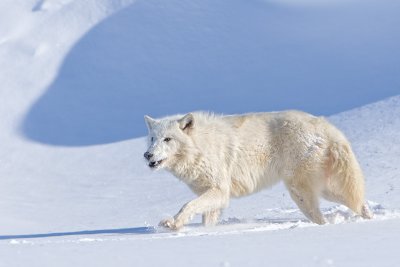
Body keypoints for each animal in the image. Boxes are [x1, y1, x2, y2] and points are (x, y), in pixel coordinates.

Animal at [144, 111, 372, 230]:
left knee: (321, 218)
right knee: (359, 203)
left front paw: (173, 224)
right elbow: (206, 220)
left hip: (300, 193)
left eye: (167, 139)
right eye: (153, 139)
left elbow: (187, 206)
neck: (201, 146)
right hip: (324, 191)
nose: (147, 155)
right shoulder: (212, 196)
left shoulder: (220, 191)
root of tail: (324, 124)